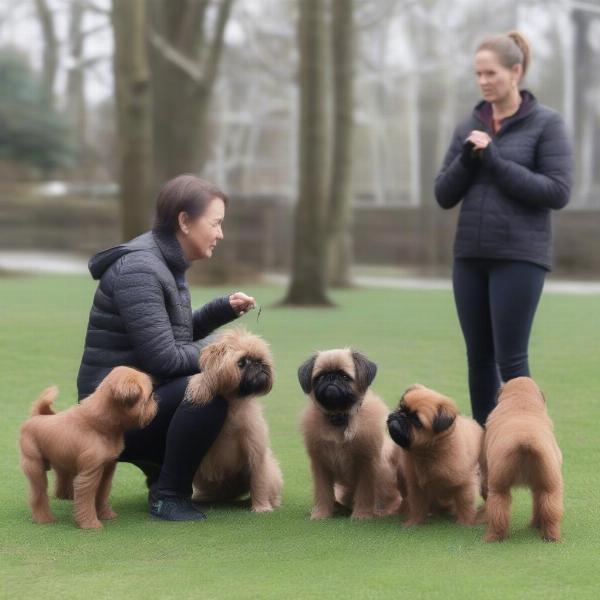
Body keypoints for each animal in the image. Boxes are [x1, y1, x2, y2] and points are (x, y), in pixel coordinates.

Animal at [19, 366, 157, 528]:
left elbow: (102, 493)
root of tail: (35, 417)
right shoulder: (90, 473)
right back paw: (44, 518)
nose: (156, 402)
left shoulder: (107, 468)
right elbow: (86, 499)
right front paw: (90, 523)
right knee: (38, 493)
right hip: (35, 466)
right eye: (149, 396)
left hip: (59, 458)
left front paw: (105, 514)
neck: (99, 425)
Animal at [186, 328, 282, 510]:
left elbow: (259, 482)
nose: (259, 364)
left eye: (259, 359)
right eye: (242, 362)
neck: (233, 404)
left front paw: (261, 508)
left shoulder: (256, 452)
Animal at [298, 350, 400, 516]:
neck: (340, 417)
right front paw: (321, 514)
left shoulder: (366, 464)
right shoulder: (320, 465)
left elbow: (364, 492)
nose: (331, 377)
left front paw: (362, 514)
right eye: (320, 376)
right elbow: (322, 492)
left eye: (345, 377)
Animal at [390, 384, 482, 524]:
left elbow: (465, 504)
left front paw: (465, 523)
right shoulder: (416, 487)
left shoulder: (465, 484)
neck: (427, 453)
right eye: (401, 407)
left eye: (416, 421)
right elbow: (417, 505)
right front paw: (413, 523)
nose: (401, 416)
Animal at [478, 380, 564, 544]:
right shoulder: (540, 484)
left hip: (499, 486)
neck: (521, 402)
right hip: (549, 487)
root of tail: (525, 441)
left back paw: (494, 537)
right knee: (549, 509)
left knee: (498, 509)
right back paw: (549, 535)